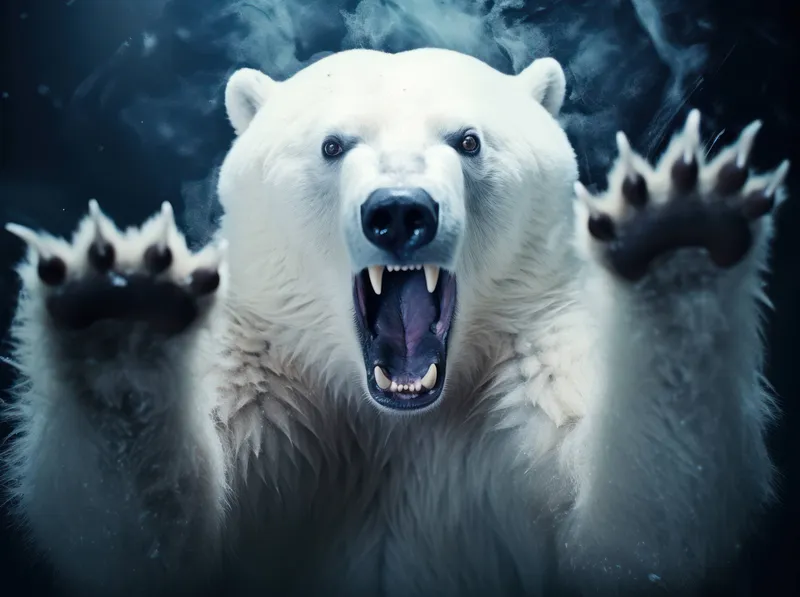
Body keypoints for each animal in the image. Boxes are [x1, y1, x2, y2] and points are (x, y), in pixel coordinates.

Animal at [1, 47, 790, 597]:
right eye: (333, 144)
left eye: (468, 140)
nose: (402, 211)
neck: (397, 420)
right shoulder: (265, 383)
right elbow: (144, 546)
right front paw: (119, 314)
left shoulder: (530, 374)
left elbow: (634, 538)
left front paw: (680, 237)